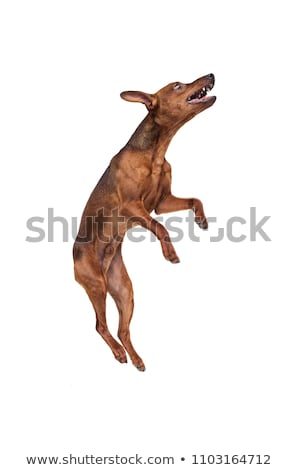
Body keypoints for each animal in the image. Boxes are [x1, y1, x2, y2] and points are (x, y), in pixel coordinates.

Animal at [73, 72, 215, 370]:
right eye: (177, 86)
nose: (210, 74)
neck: (155, 153)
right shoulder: (133, 207)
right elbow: (161, 228)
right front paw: (170, 253)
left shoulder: (161, 203)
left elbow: (194, 200)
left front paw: (201, 220)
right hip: (97, 285)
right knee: (100, 326)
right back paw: (118, 353)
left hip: (124, 291)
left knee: (122, 329)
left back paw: (135, 358)